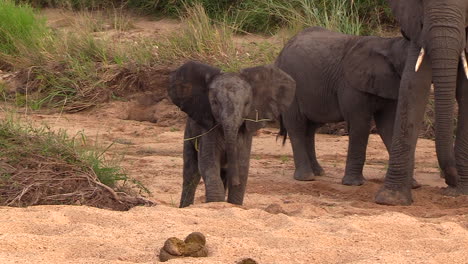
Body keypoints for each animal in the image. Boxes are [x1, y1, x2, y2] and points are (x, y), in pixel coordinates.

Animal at [168, 60, 294, 207]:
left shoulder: (245, 132)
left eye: (246, 104)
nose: (235, 181)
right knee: (191, 173)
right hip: (189, 131)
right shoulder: (208, 128)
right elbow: (208, 164)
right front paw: (217, 203)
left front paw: (233, 204)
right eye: (215, 103)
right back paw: (185, 206)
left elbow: (242, 166)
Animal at [276, 26, 412, 186]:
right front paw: (354, 184)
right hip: (291, 86)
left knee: (310, 128)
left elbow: (388, 126)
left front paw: (413, 185)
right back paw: (306, 177)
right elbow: (360, 124)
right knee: (297, 125)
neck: (389, 44)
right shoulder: (351, 86)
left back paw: (318, 172)